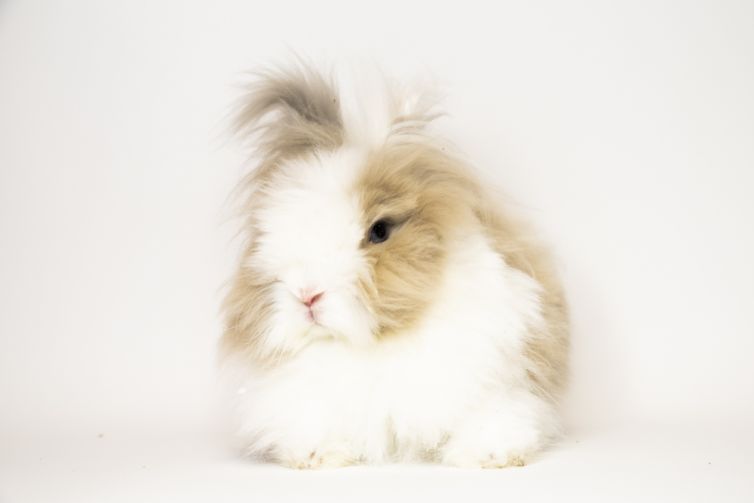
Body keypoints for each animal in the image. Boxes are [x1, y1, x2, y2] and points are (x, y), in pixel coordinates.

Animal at [219, 61, 569, 469]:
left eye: (380, 230)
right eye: (266, 234)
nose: (306, 295)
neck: (380, 343)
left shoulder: (502, 378)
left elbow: (495, 415)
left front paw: (485, 455)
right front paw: (318, 455)